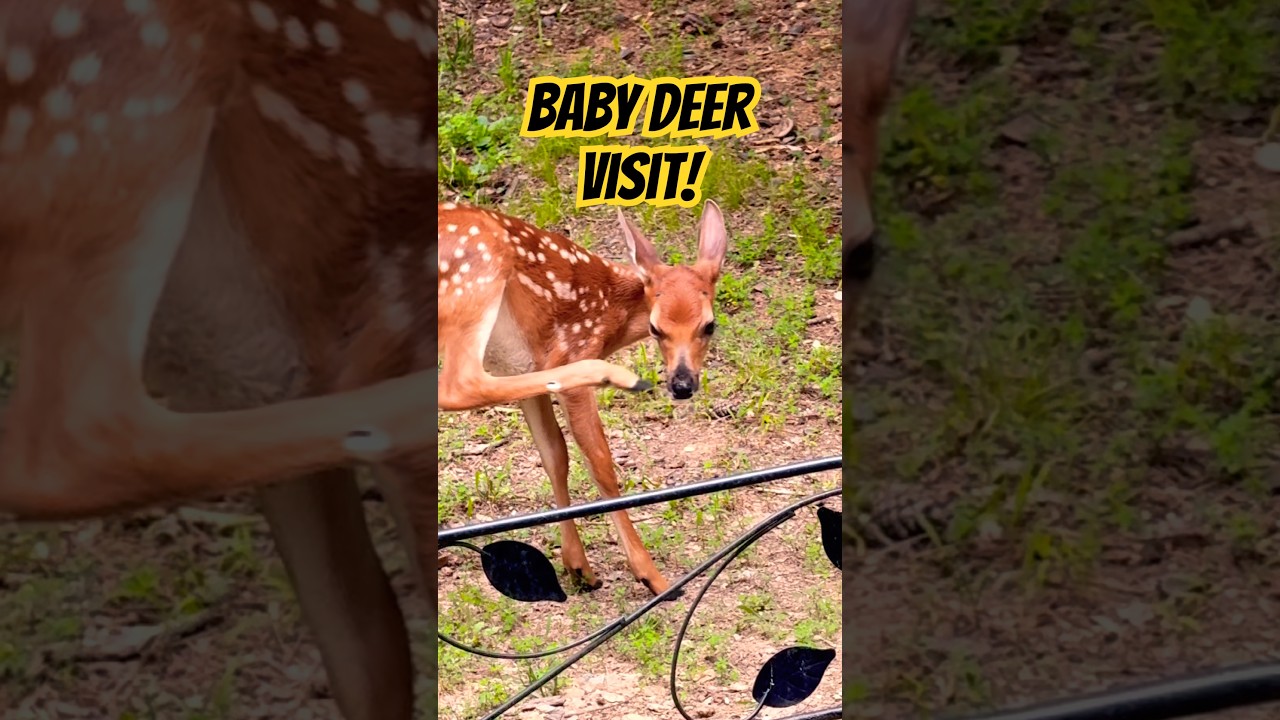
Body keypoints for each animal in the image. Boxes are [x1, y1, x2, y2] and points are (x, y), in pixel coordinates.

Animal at [437, 199, 730, 597]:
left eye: (709, 325)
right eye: (656, 328)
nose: (682, 384)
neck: (611, 315)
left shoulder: (520, 365)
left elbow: (554, 454)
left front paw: (578, 567)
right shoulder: (570, 346)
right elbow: (600, 463)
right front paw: (651, 576)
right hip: (477, 271)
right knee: (458, 384)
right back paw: (612, 374)